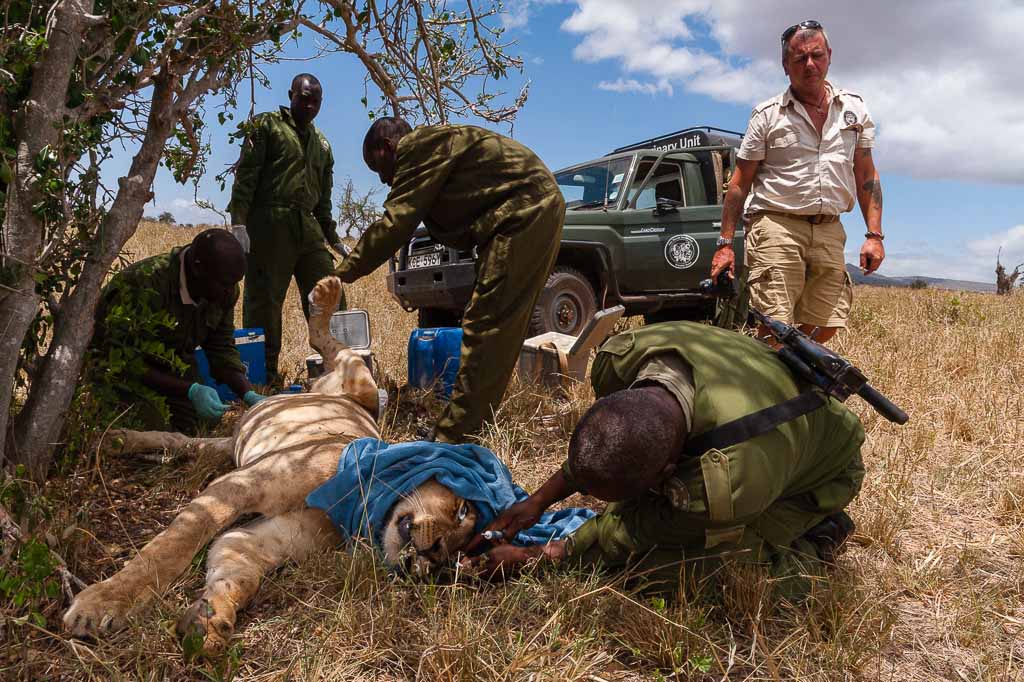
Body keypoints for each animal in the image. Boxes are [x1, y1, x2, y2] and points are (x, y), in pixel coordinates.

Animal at [63, 276, 478, 656]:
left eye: (458, 558)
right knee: (337, 350)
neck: (359, 509)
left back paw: (120, 440)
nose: (434, 554)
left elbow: (237, 573)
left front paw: (210, 620)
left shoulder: (256, 538)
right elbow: (169, 549)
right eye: (463, 510)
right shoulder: (240, 486)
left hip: (228, 445)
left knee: (184, 442)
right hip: (360, 389)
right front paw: (102, 603)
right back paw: (326, 295)